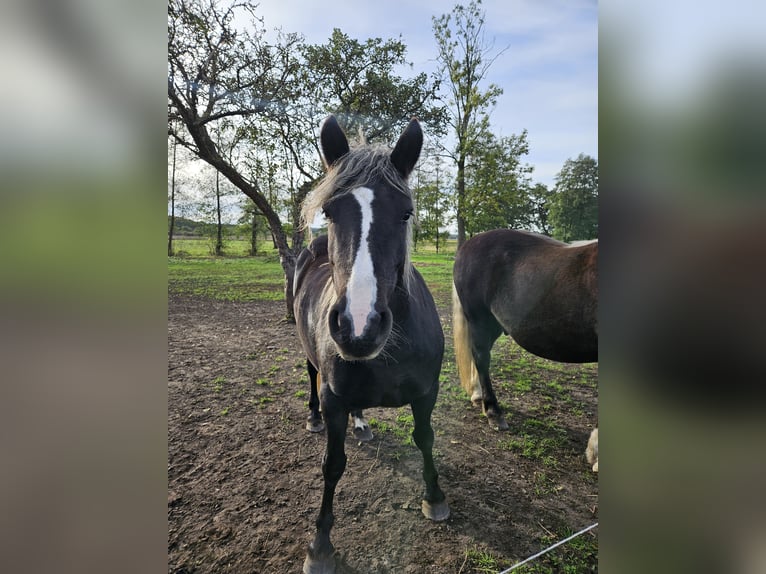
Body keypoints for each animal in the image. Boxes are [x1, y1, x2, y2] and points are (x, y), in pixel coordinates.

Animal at [294, 115, 449, 574]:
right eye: (329, 211)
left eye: (406, 213)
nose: (358, 326)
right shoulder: (334, 399)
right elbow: (332, 466)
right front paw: (320, 545)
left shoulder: (427, 392)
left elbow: (425, 438)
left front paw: (435, 498)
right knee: (310, 376)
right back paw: (313, 418)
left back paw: (362, 422)